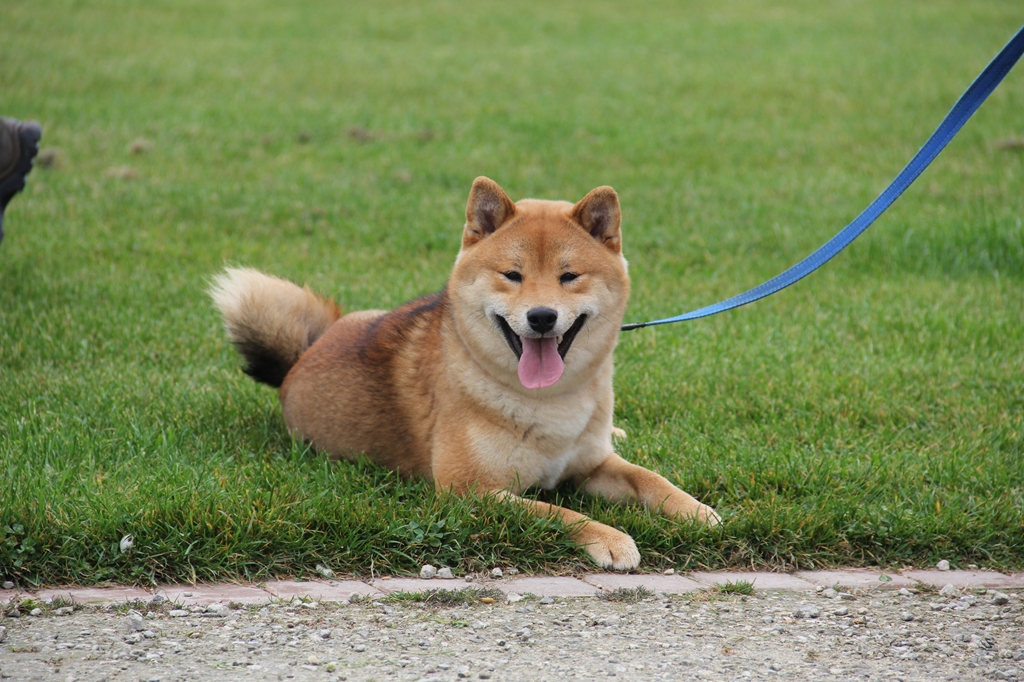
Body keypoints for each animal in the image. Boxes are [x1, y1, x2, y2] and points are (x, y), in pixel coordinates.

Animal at [209, 176, 720, 569]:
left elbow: (651, 479)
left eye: (569, 276)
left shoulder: (592, 464)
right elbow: (557, 513)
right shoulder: (469, 490)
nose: (541, 316)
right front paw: (610, 537)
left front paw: (696, 511)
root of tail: (304, 355)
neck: (548, 403)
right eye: (512, 275)